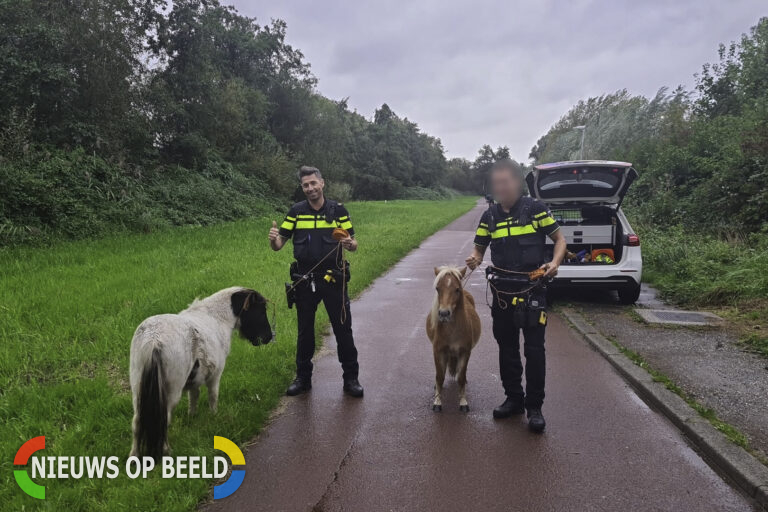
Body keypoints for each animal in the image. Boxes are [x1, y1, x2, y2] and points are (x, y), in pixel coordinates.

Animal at [126, 286, 270, 458]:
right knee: (163, 418)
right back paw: (166, 451)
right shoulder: (215, 376)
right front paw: (214, 416)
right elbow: (213, 396)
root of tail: (153, 340)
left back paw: (134, 455)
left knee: (136, 422)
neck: (217, 318)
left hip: (138, 388)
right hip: (171, 391)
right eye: (260, 310)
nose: (269, 337)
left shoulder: (194, 380)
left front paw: (192, 417)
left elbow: (193, 397)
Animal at [426, 266, 480, 410]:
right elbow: (440, 376)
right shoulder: (438, 351)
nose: (444, 313)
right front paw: (437, 402)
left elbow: (460, 376)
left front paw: (463, 402)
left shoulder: (465, 352)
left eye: (457, 289)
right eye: (437, 288)